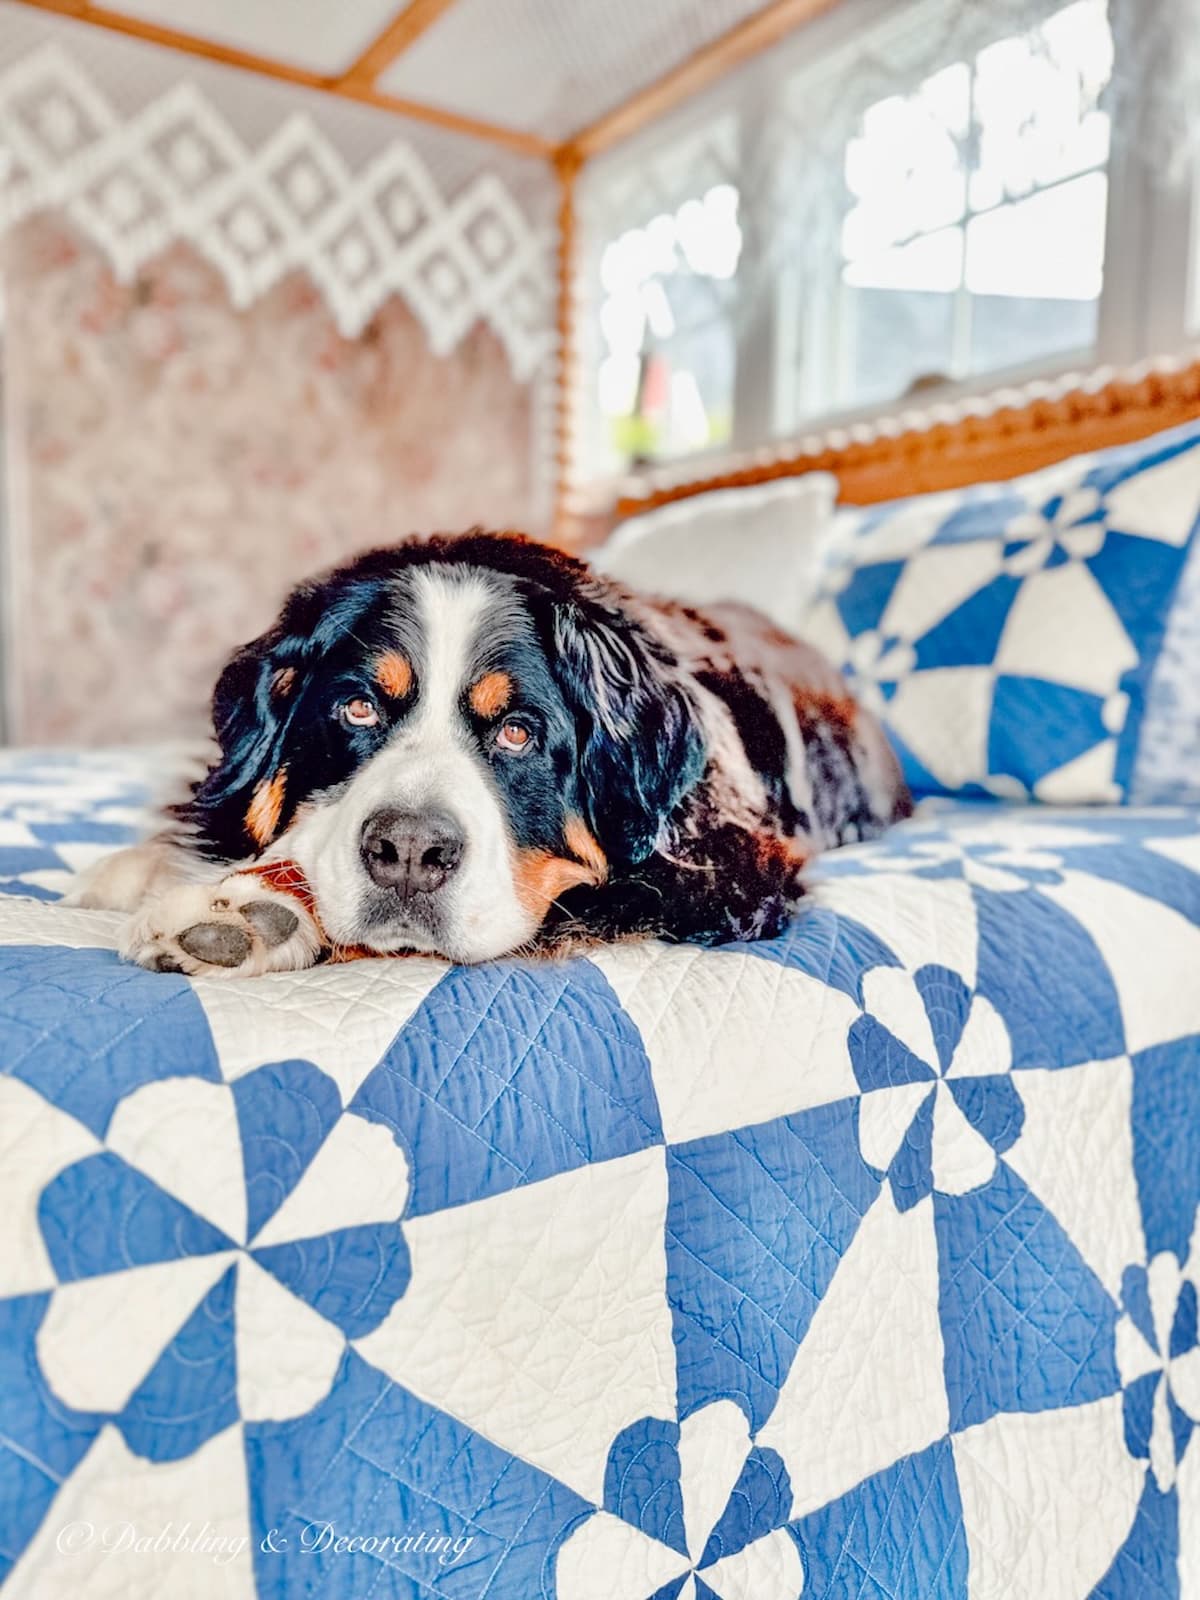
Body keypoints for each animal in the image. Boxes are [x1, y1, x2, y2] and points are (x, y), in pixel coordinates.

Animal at [70, 531, 908, 966]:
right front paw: (137, 870)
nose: (409, 850)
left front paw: (250, 909)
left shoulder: (724, 875)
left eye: (518, 732)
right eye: (358, 708)